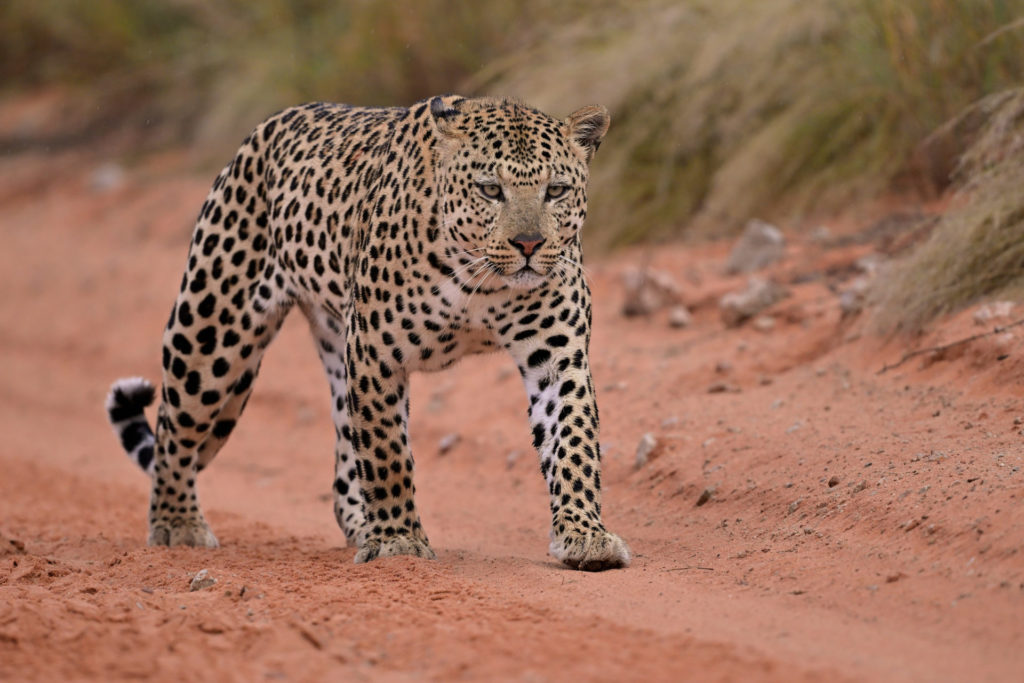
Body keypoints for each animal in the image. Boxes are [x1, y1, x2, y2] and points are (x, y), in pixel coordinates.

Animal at [105, 94, 630, 571]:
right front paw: (399, 540)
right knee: (174, 429)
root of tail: (267, 127)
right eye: (489, 190)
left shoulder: (557, 355)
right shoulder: (377, 352)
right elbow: (386, 452)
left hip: (331, 346)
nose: (528, 244)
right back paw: (177, 523)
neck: (480, 279)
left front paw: (586, 536)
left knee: (342, 457)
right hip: (213, 334)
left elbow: (573, 441)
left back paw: (360, 523)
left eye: (556, 190)